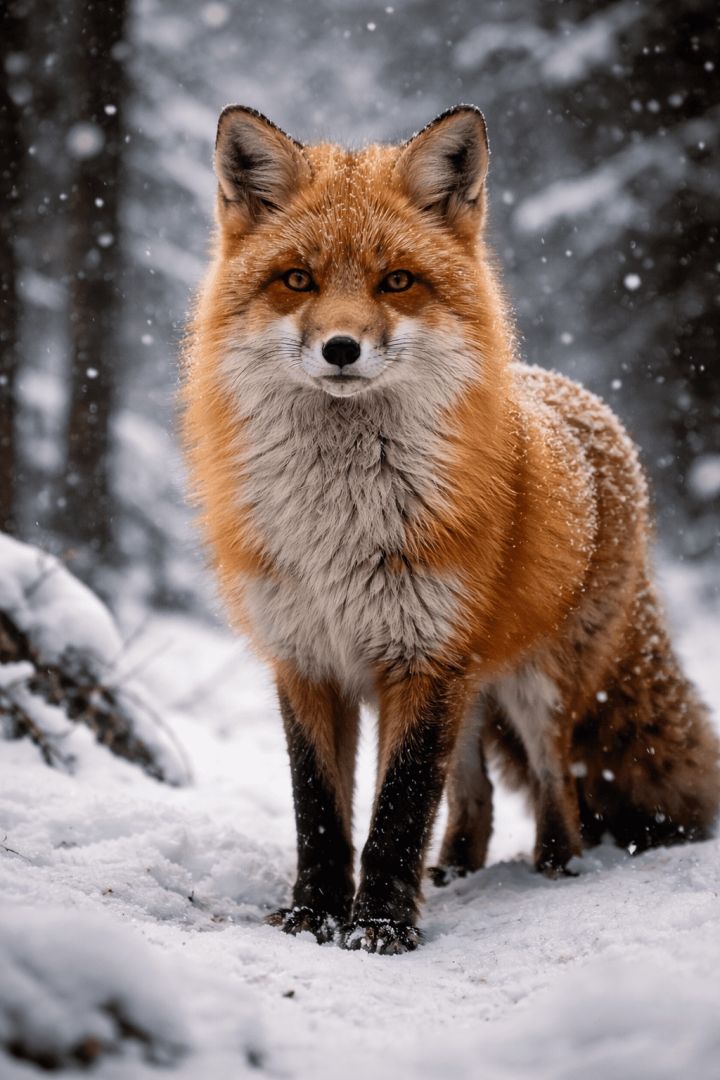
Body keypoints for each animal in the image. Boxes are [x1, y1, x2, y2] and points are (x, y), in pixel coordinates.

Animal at [182, 104, 720, 954]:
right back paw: (459, 868)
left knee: (559, 779)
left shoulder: (423, 655)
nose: (341, 348)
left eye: (397, 281)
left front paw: (380, 931)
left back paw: (558, 867)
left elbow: (398, 812)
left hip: (535, 681)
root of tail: (586, 406)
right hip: (470, 685)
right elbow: (322, 814)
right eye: (298, 279)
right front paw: (313, 918)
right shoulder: (308, 658)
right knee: (475, 794)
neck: (337, 526)